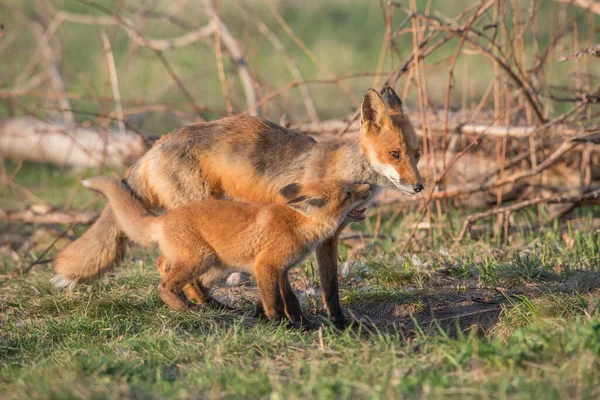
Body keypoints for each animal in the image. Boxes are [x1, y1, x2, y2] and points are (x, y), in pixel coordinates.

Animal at [80, 177, 370, 326]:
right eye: (347, 194)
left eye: (350, 184)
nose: (369, 186)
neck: (298, 224)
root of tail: (162, 218)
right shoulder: (265, 266)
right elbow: (274, 301)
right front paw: (279, 323)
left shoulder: (282, 269)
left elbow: (291, 299)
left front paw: (300, 322)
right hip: (202, 258)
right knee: (164, 285)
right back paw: (186, 308)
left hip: (211, 263)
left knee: (169, 268)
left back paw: (208, 304)